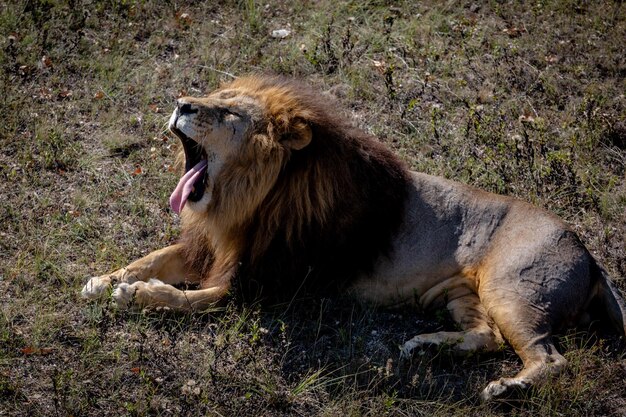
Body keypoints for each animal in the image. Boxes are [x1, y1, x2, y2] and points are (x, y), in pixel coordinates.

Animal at [83, 75, 624, 400]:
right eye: (214, 97)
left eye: (230, 113)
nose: (181, 103)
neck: (245, 198)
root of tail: (588, 253)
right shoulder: (213, 248)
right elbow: (154, 257)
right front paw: (104, 279)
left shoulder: (264, 284)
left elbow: (192, 299)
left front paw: (136, 295)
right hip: (463, 294)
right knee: (487, 335)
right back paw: (426, 347)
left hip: (513, 289)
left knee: (550, 358)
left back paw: (508, 389)